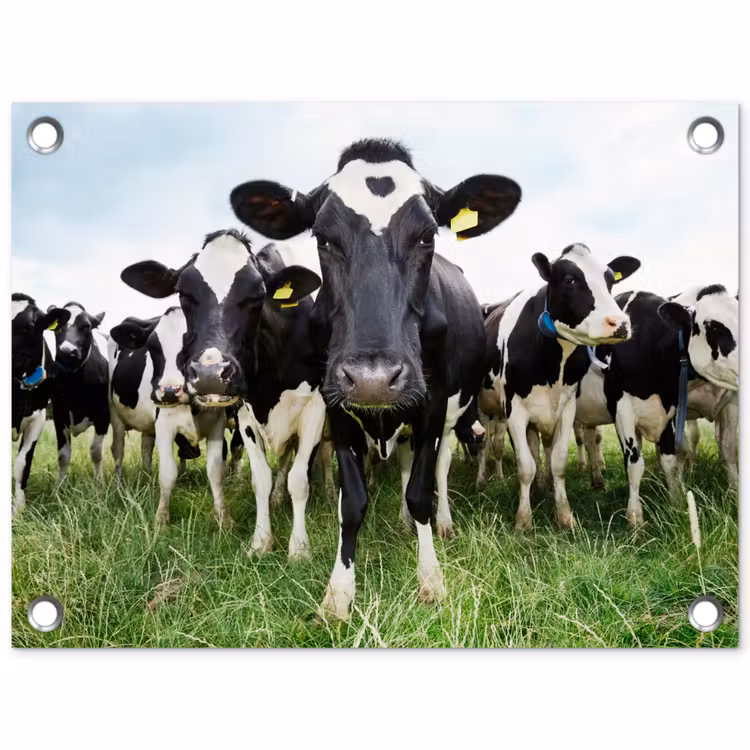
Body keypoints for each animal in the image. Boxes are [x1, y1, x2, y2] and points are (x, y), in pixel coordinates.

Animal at [48, 302, 110, 482]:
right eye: (57, 327)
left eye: (86, 326)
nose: (67, 351)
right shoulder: (59, 414)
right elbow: (63, 455)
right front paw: (60, 485)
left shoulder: (103, 415)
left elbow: (96, 451)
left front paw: (99, 482)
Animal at [108, 306, 231, 528]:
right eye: (152, 347)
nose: (170, 391)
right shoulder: (165, 425)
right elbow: (167, 473)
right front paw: (161, 520)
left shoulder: (217, 424)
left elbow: (216, 472)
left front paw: (223, 520)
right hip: (115, 416)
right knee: (118, 450)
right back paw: (119, 487)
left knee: (146, 448)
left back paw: (147, 480)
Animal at [228, 137, 522, 619]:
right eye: (323, 237)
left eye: (427, 235)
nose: (373, 379)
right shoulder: (335, 405)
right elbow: (352, 502)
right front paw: (338, 593)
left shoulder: (431, 405)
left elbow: (420, 492)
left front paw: (431, 579)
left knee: (437, 470)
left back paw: (439, 524)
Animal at [479, 244, 640, 531]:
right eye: (570, 280)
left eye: (610, 280)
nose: (620, 323)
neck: (551, 362)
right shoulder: (514, 410)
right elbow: (525, 466)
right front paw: (523, 520)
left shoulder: (566, 408)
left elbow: (558, 461)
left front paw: (564, 515)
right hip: (485, 410)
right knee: (487, 445)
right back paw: (483, 480)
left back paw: (541, 486)